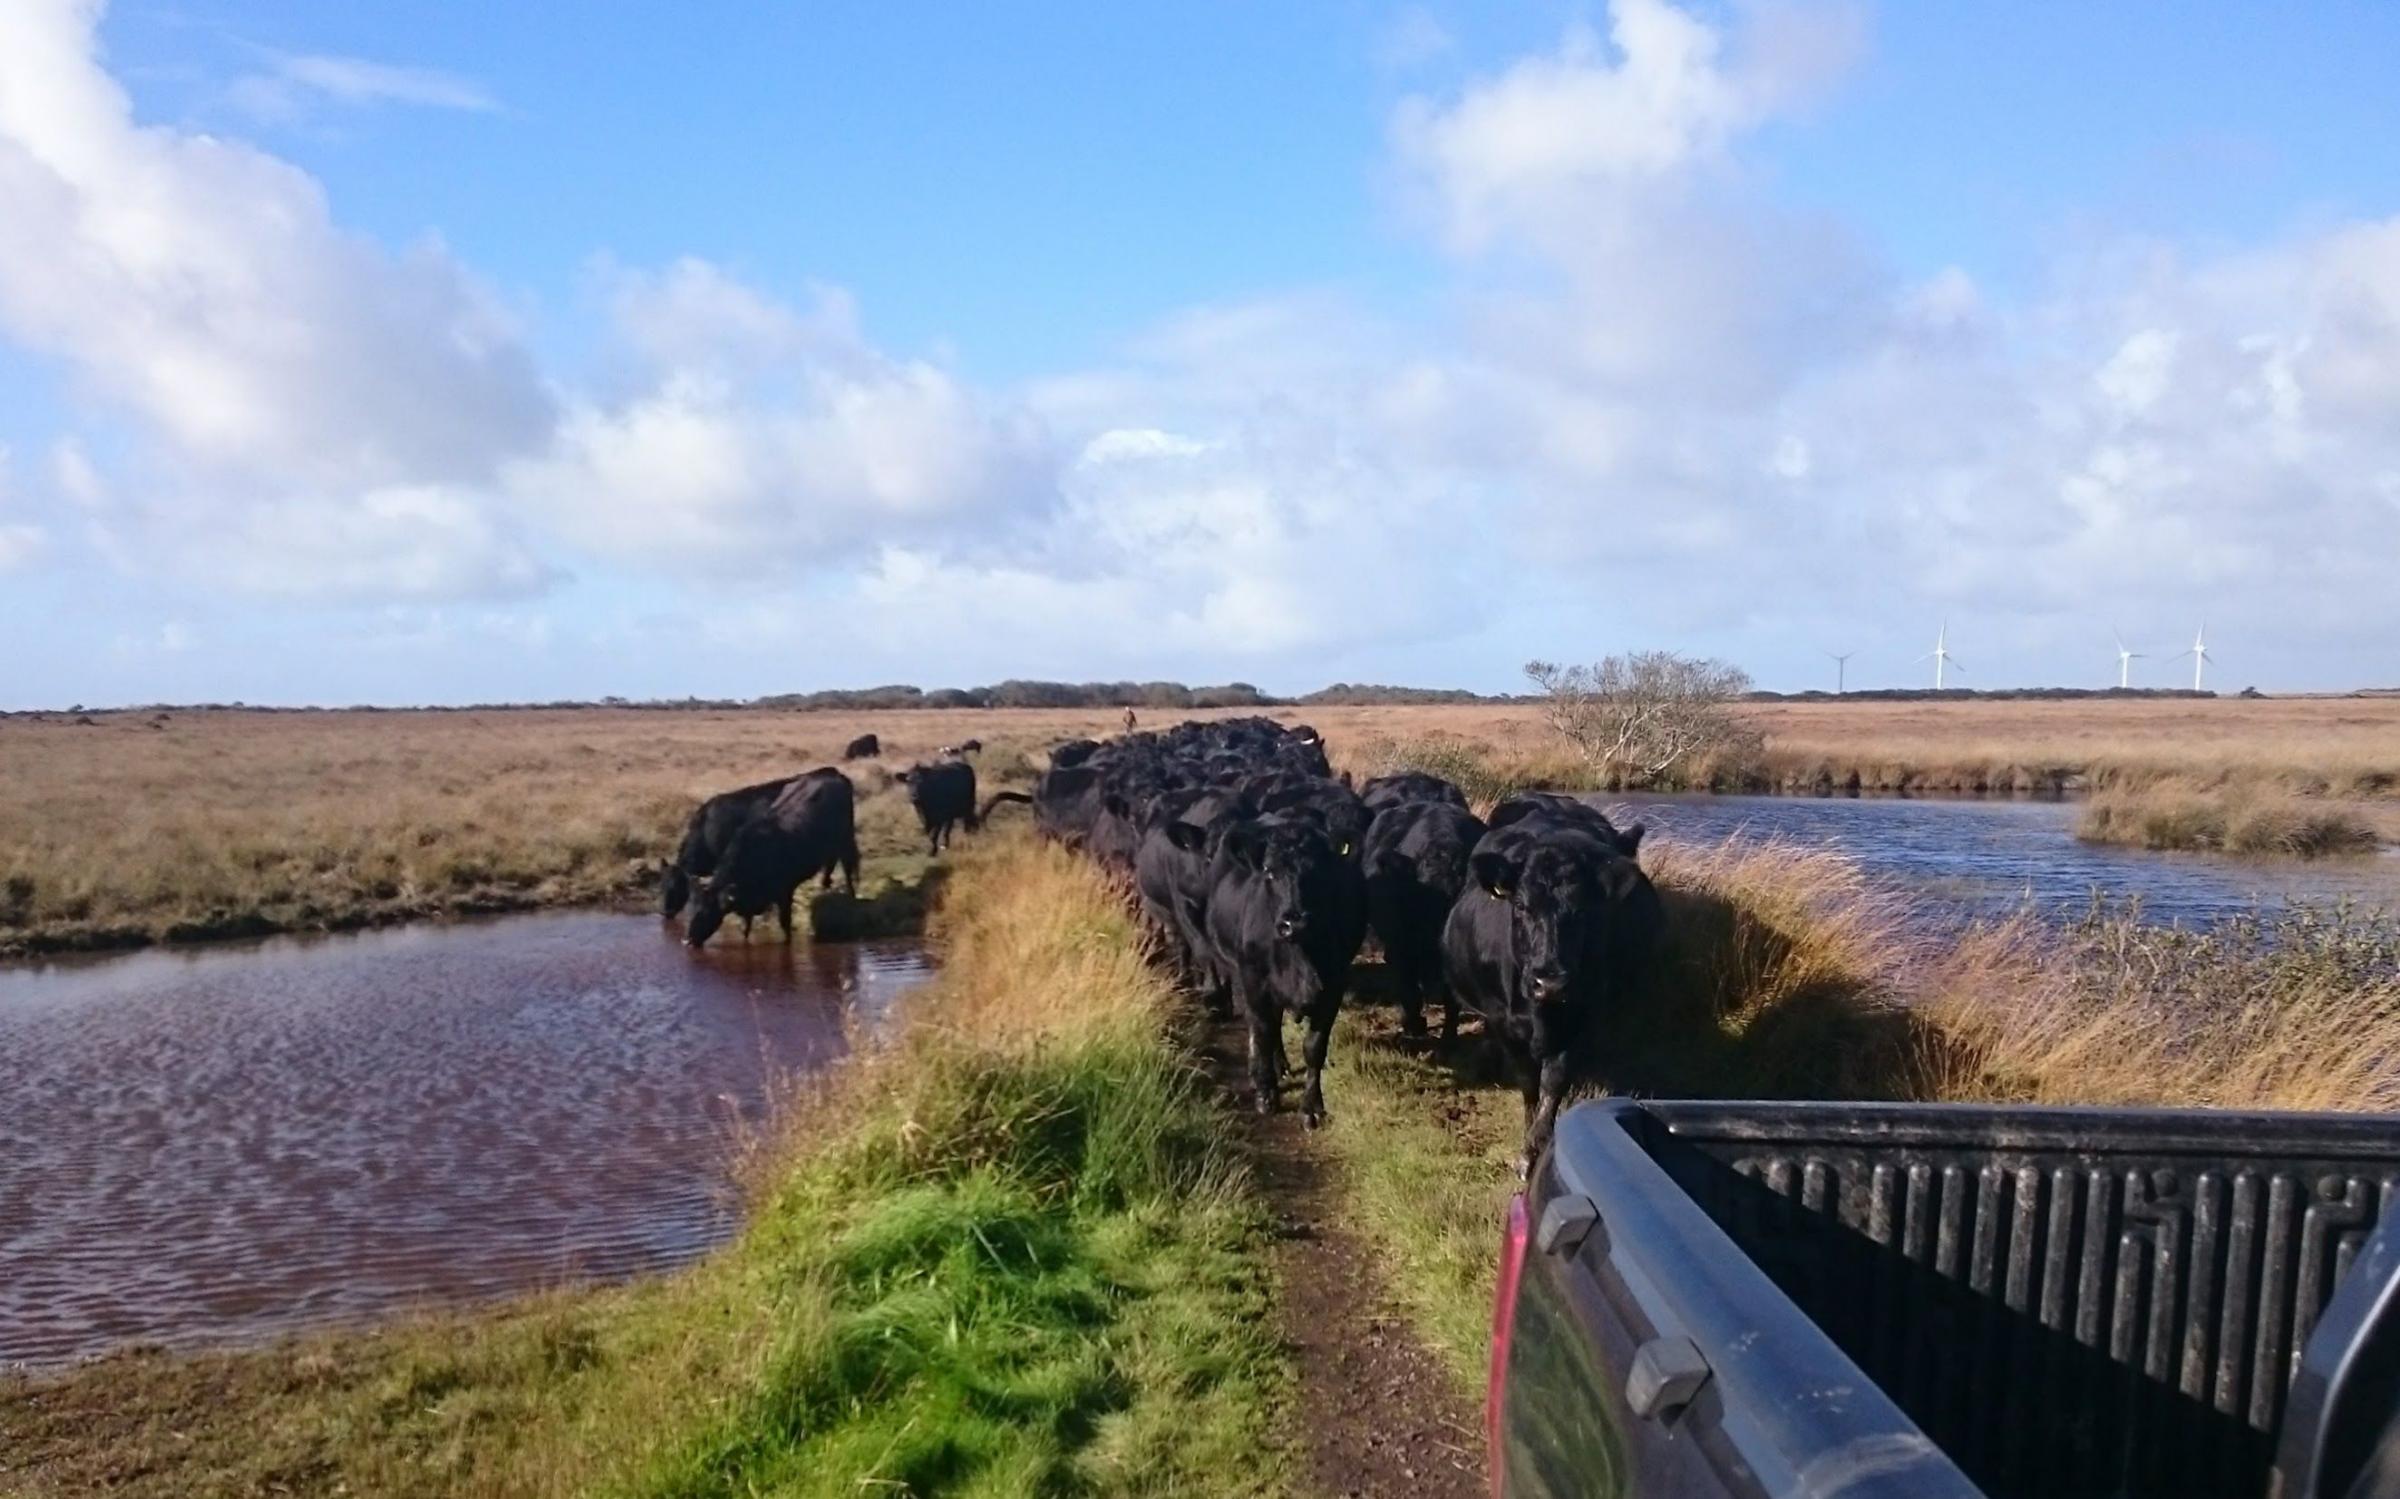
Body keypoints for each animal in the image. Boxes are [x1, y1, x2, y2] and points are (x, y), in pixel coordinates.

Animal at [681, 772, 859, 944]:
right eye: (692, 908)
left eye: (706, 911)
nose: (688, 940)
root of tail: (835, 775)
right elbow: (746, 928)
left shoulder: (785, 892)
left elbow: (785, 923)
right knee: (831, 863)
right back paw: (825, 887)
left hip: (846, 838)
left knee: (848, 866)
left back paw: (851, 895)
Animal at [1209, 810, 1363, 1117]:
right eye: (1270, 872)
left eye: (1319, 872)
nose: (1295, 923)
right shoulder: (1254, 980)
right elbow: (1263, 1031)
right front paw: (1266, 1094)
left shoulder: (1334, 986)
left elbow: (1314, 1047)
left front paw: (1312, 1106)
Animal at [1440, 810, 1670, 1175]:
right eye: (1521, 906)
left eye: (1583, 910)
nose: (1550, 983)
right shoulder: (1504, 1021)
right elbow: (1529, 1084)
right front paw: (1526, 1150)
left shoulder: (1580, 1020)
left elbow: (1554, 1083)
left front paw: (1537, 1145)